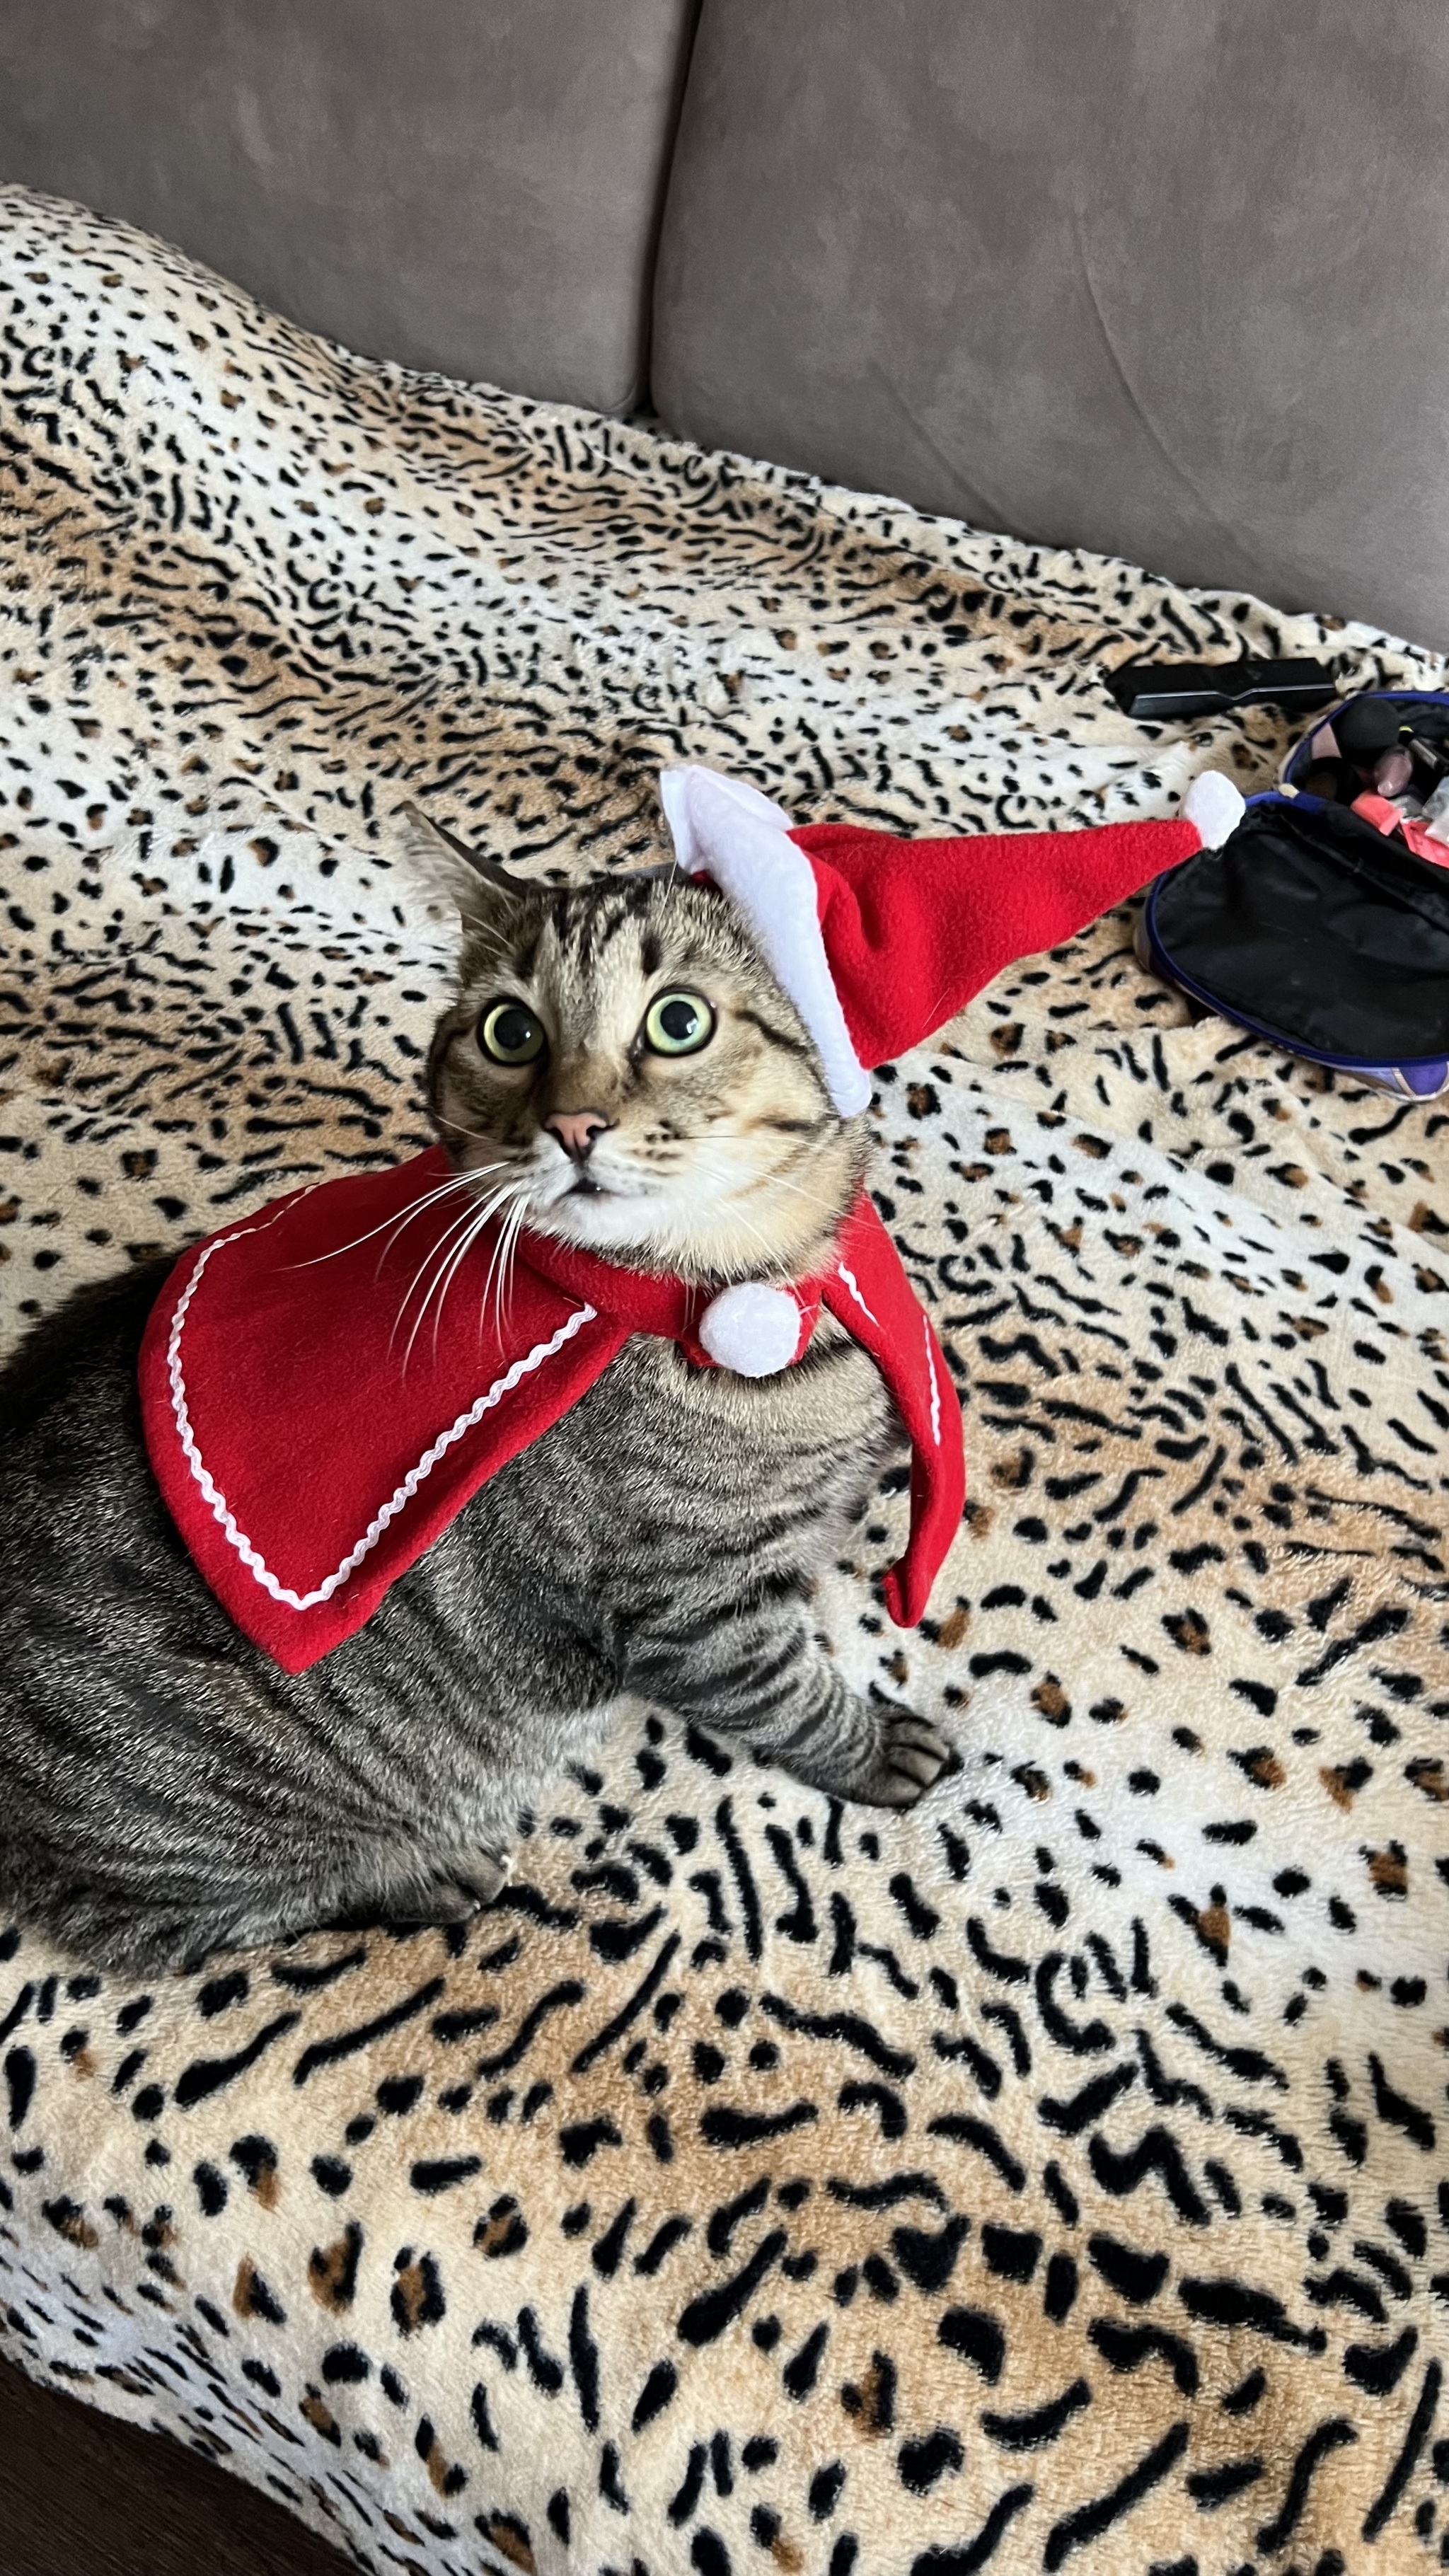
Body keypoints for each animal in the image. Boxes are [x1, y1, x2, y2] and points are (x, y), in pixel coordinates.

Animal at [0, 814, 951, 1971]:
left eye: (677, 1020)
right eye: (511, 1031)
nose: (575, 1124)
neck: (753, 1291)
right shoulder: (694, 1606)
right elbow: (789, 1697)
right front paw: (877, 1746)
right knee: (179, 1923)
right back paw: (426, 1869)